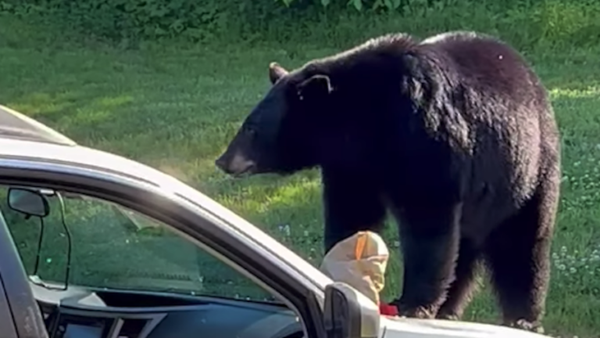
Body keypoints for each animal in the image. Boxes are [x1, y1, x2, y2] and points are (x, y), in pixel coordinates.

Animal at [216, 30, 564, 332]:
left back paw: (522, 317)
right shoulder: (352, 166)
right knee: (464, 250)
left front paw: (413, 303)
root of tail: (529, 74)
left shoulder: (426, 138)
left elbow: (427, 223)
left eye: (251, 127)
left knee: (522, 242)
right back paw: (450, 308)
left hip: (525, 170)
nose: (223, 160)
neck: (366, 121)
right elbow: (352, 212)